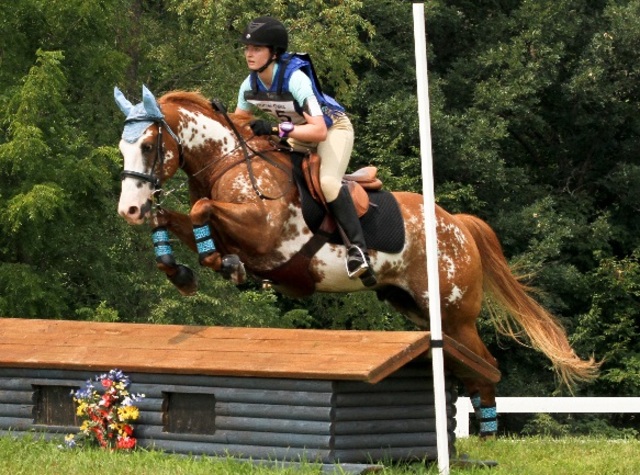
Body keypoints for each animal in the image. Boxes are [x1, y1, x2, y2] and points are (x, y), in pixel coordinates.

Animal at [114, 85, 599, 436]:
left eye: (149, 146)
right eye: (122, 148)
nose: (128, 209)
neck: (226, 164)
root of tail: (458, 224)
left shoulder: (267, 233)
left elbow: (201, 211)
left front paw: (221, 263)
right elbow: (174, 219)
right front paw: (182, 271)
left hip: (454, 315)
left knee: (485, 367)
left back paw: (486, 436)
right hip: (417, 310)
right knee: (468, 364)